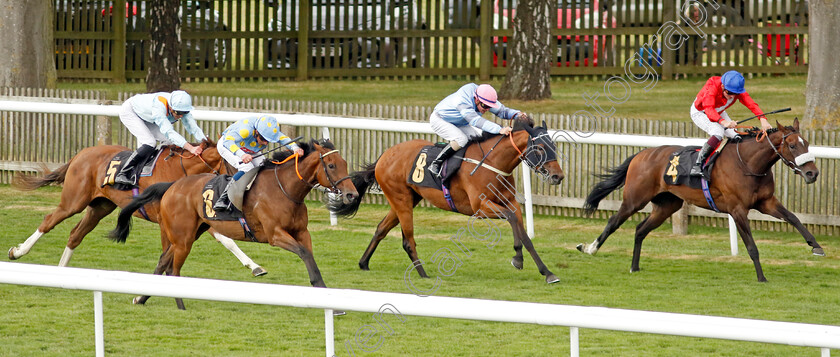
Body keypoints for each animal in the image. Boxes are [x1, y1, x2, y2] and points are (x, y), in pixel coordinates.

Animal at [8, 139, 268, 276]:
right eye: (240, 164)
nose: (244, 189)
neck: (181, 171)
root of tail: (81, 153)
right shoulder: (169, 219)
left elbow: (225, 240)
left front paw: (255, 266)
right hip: (73, 201)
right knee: (49, 221)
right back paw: (18, 252)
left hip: (101, 206)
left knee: (75, 235)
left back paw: (62, 272)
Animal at [106, 139, 356, 308]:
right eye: (331, 166)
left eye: (345, 163)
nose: (352, 195)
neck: (284, 188)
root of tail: (172, 186)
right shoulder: (275, 235)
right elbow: (304, 254)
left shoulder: (302, 232)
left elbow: (310, 257)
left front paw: (331, 303)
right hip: (183, 238)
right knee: (173, 269)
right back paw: (180, 305)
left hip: (190, 233)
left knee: (162, 263)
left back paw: (141, 298)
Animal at [340, 117, 564, 284]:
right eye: (540, 148)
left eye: (554, 145)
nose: (558, 176)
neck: (493, 163)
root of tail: (384, 155)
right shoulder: (480, 208)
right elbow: (511, 218)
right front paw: (517, 258)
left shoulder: (510, 203)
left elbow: (523, 232)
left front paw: (547, 272)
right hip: (401, 199)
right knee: (407, 240)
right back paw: (423, 274)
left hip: (407, 198)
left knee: (381, 228)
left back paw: (364, 263)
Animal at [576, 119, 820, 280]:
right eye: (792, 145)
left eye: (807, 143)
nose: (813, 173)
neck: (748, 163)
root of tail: (641, 154)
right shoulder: (737, 209)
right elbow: (752, 246)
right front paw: (761, 277)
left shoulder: (766, 202)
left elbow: (794, 218)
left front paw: (816, 246)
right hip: (634, 199)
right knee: (613, 221)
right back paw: (590, 248)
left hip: (667, 205)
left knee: (640, 229)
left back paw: (634, 267)